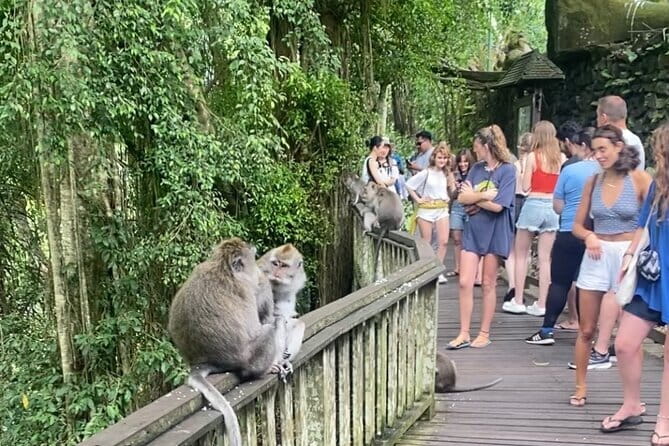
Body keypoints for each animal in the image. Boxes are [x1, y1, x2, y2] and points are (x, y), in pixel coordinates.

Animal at [168, 238, 296, 446]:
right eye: (252, 261)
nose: (258, 270)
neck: (222, 266)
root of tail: (203, 362)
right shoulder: (248, 288)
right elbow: (260, 324)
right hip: (251, 360)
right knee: (269, 330)